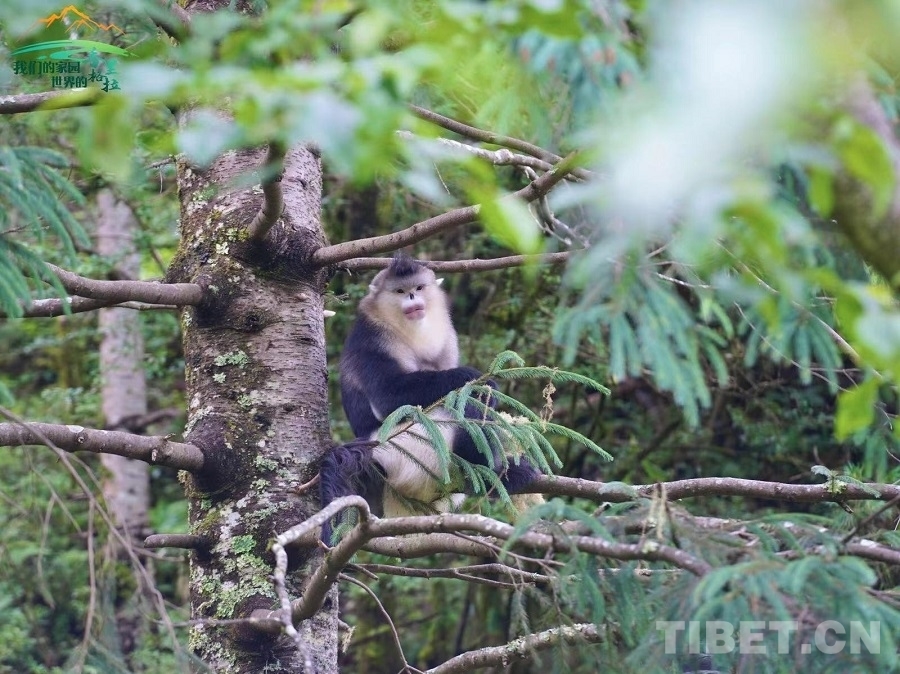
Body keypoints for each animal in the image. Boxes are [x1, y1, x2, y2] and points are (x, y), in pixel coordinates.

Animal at [320, 256, 540, 536]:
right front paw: (472, 377)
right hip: (409, 452)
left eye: (419, 287)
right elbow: (387, 396)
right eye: (400, 291)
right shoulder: (371, 337)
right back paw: (487, 473)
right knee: (466, 406)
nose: (412, 297)